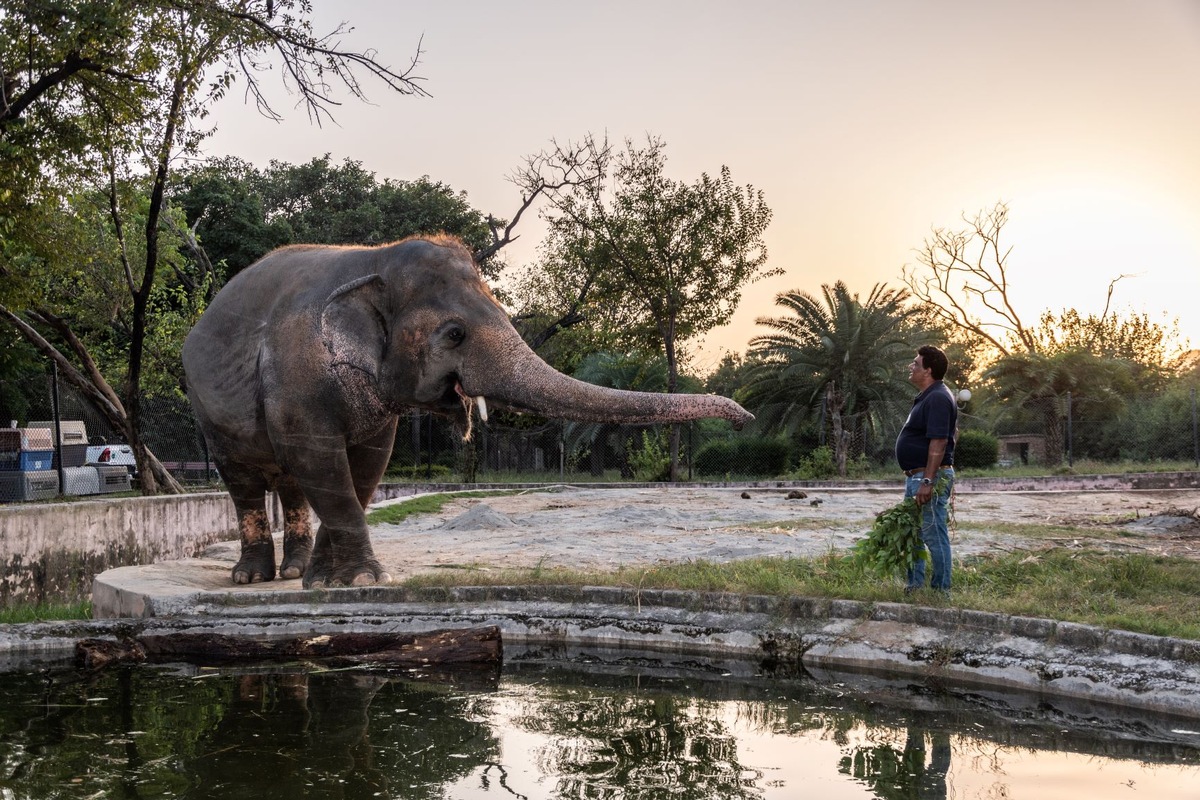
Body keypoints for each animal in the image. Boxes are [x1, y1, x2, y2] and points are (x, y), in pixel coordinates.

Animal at [182, 231, 748, 587]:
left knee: (291, 484)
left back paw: (292, 573)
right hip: (208, 415)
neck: (373, 259)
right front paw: (359, 579)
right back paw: (250, 577)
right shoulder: (298, 376)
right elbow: (323, 461)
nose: (746, 416)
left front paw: (330, 581)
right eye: (454, 334)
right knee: (246, 482)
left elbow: (364, 468)